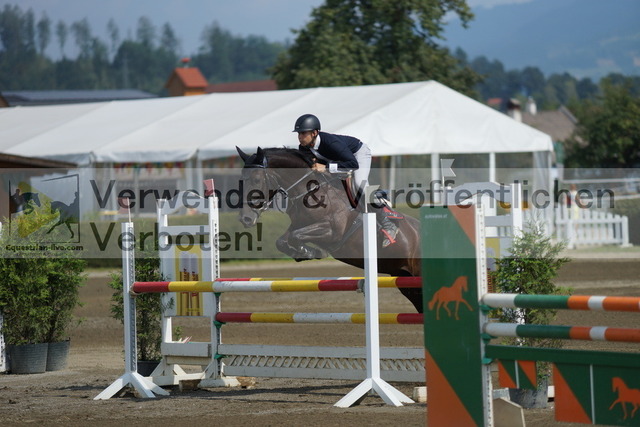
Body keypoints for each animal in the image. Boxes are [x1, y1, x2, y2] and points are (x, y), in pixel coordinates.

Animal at [236, 146, 423, 313]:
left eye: (256, 180)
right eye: (242, 180)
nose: (245, 219)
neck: (310, 191)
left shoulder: (332, 232)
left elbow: (296, 236)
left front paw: (312, 252)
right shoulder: (298, 224)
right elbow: (282, 241)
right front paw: (304, 253)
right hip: (404, 278)